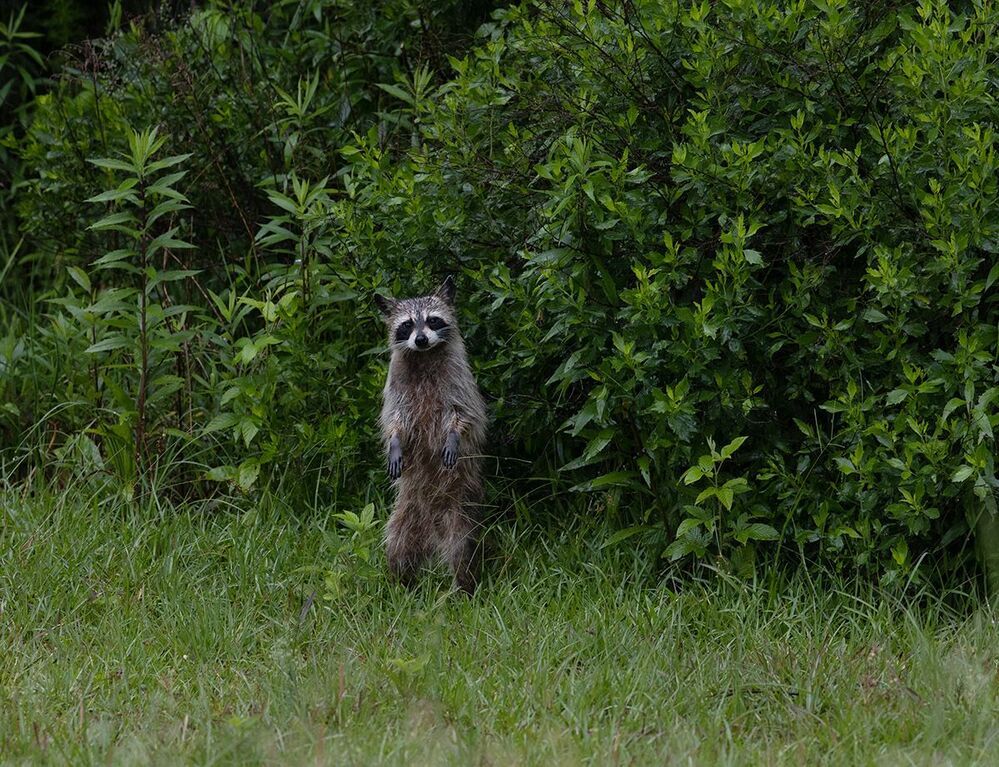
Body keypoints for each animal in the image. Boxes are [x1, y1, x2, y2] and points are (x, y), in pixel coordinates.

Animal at [374, 276, 487, 593]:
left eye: (433, 321)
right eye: (407, 325)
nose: (421, 339)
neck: (423, 356)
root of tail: (431, 537)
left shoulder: (459, 380)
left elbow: (464, 414)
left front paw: (453, 435)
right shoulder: (396, 384)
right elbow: (395, 419)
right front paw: (395, 442)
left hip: (458, 509)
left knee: (461, 548)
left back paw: (464, 586)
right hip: (405, 512)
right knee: (397, 544)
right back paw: (401, 583)